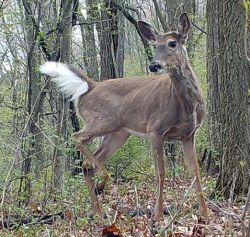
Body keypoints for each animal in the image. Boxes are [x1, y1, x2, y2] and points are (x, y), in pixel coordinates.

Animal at [40, 12, 209, 220]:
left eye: (172, 43)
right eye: (155, 45)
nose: (154, 65)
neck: (186, 105)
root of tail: (91, 86)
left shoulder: (188, 134)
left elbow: (195, 170)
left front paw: (205, 213)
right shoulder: (155, 129)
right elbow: (160, 173)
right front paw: (158, 215)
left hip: (118, 134)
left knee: (88, 164)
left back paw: (98, 211)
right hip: (104, 121)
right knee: (77, 137)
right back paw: (102, 184)